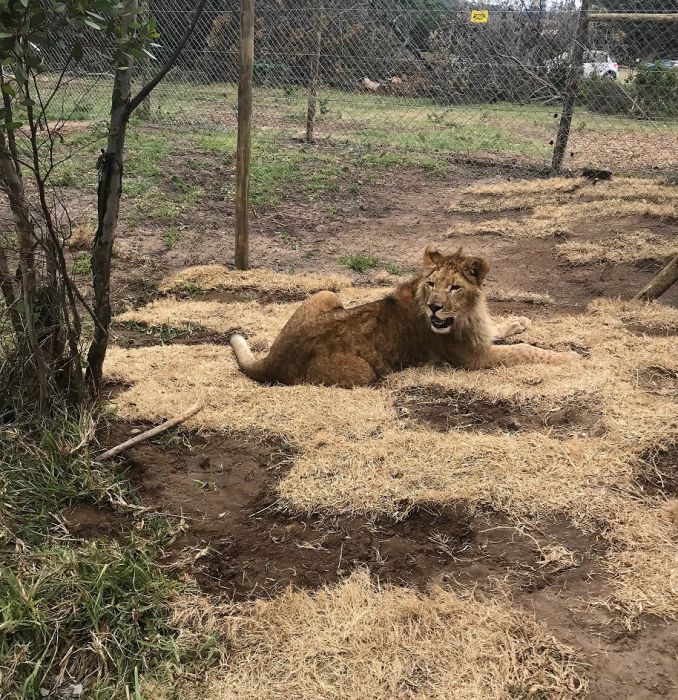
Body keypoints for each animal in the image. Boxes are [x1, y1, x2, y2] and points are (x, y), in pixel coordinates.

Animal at [231, 246, 580, 388]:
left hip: (328, 294)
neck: (464, 314)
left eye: (454, 287)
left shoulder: (478, 334)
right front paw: (571, 359)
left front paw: (520, 321)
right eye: (432, 284)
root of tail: (273, 357)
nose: (435, 308)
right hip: (362, 373)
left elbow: (500, 328)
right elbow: (526, 351)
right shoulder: (473, 359)